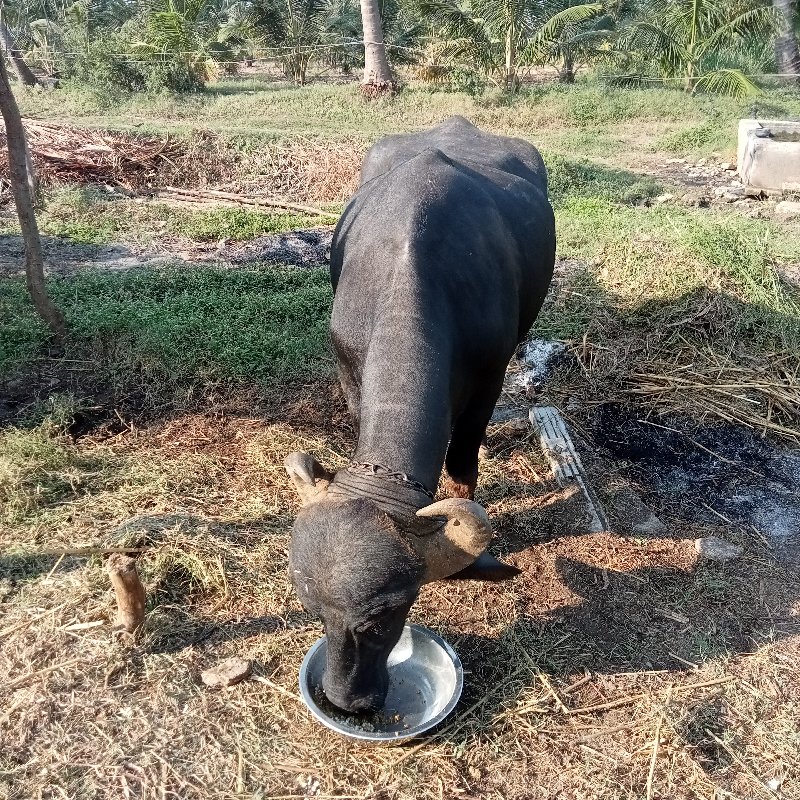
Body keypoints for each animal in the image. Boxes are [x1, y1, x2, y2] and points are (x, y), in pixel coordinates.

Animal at [286, 117, 556, 712]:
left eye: (387, 616)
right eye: (313, 611)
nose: (346, 700)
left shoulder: (490, 376)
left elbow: (462, 460)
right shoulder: (348, 364)